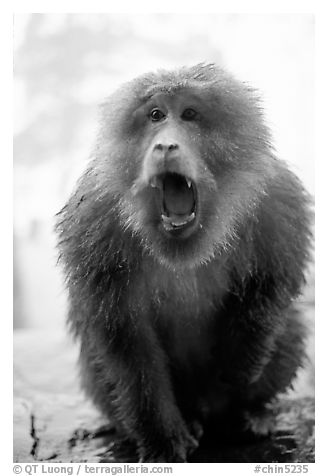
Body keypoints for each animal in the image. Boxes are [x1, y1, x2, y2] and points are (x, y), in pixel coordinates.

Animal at [55, 63, 312, 462]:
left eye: (189, 114)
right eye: (156, 115)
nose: (165, 145)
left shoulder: (275, 196)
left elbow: (273, 282)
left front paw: (240, 362)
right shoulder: (95, 220)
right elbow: (126, 340)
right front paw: (161, 438)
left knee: (288, 326)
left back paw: (248, 412)